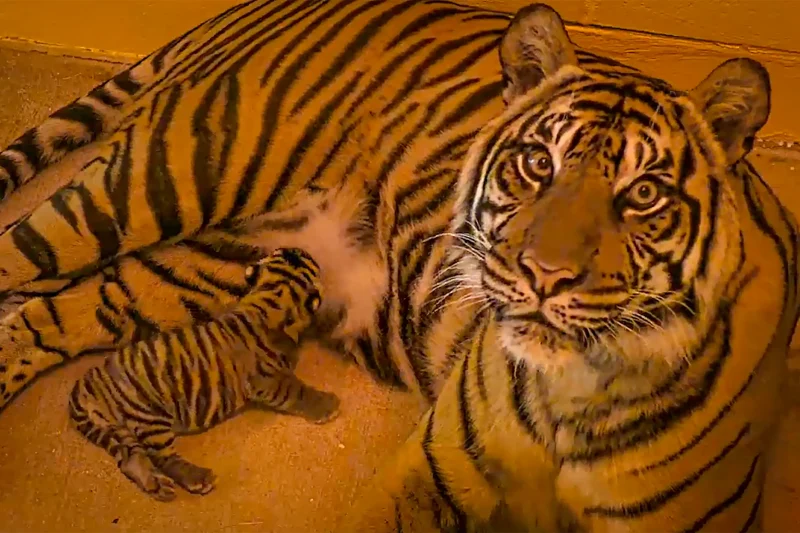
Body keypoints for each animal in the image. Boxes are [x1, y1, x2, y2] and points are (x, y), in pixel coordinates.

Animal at [67, 246, 338, 502]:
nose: (301, 250)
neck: (271, 296)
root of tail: (84, 385)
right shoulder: (268, 380)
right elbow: (297, 391)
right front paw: (328, 404)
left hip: (118, 430)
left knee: (130, 459)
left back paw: (156, 486)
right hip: (148, 415)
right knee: (162, 457)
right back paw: (197, 478)